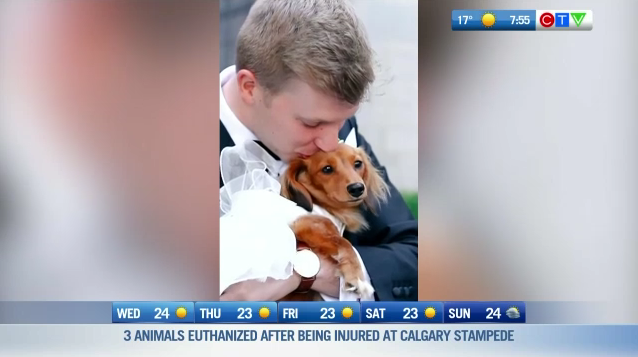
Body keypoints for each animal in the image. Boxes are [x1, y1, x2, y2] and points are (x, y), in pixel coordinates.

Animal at [280, 143, 390, 300]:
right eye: (327, 169)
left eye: (358, 163)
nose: (357, 188)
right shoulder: (308, 225)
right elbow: (345, 244)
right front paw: (356, 279)